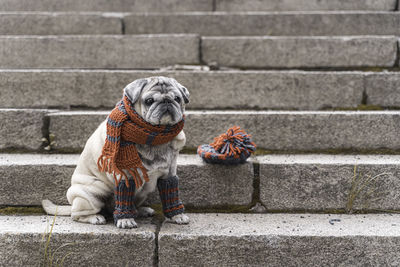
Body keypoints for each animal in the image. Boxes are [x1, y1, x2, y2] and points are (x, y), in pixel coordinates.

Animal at [42, 76, 189, 229]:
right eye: (149, 101)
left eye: (177, 98)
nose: (167, 101)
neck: (154, 139)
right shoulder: (125, 176)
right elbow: (124, 196)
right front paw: (125, 220)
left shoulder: (169, 175)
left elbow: (171, 196)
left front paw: (177, 215)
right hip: (93, 192)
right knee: (77, 215)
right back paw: (95, 217)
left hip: (140, 195)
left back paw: (140, 210)